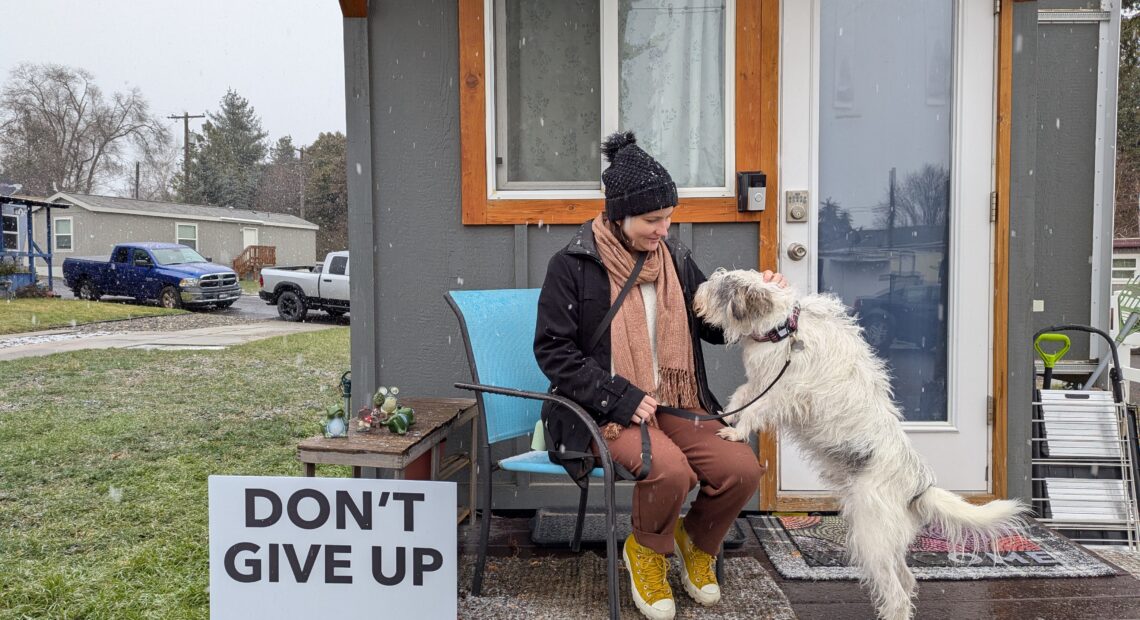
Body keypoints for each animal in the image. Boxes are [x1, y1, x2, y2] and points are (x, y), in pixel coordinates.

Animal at [688, 267, 1030, 620]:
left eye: (720, 286)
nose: (696, 294)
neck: (784, 331)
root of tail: (918, 485)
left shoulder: (783, 393)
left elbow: (753, 409)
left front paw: (734, 433)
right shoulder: (759, 383)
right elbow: (741, 398)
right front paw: (725, 417)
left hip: (872, 537)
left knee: (897, 594)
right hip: (886, 540)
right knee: (907, 580)